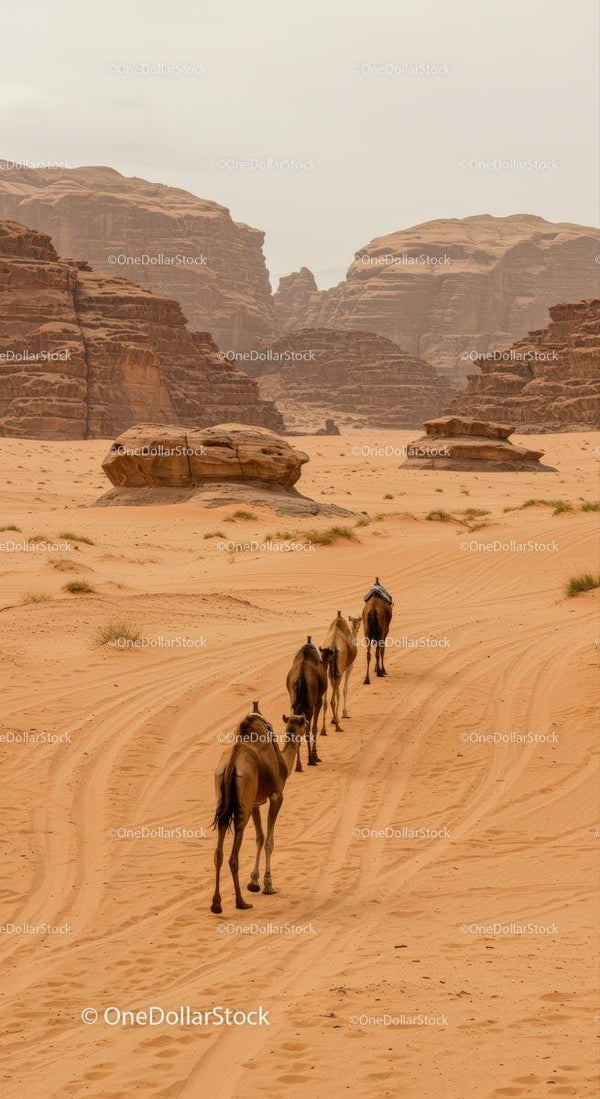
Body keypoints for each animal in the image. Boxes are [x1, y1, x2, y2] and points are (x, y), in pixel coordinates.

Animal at [211, 705, 306, 914]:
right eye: (305, 722)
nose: (308, 731)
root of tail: (231, 764)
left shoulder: (254, 802)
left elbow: (259, 838)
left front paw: (254, 882)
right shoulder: (277, 795)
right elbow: (269, 841)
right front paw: (268, 885)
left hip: (225, 796)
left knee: (218, 853)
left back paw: (216, 904)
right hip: (242, 807)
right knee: (233, 857)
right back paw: (241, 902)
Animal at [286, 637, 329, 769]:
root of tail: (301, 677)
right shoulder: (318, 701)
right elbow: (314, 728)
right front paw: (315, 755)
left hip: (295, 703)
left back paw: (298, 764)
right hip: (309, 705)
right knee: (307, 729)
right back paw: (310, 759)